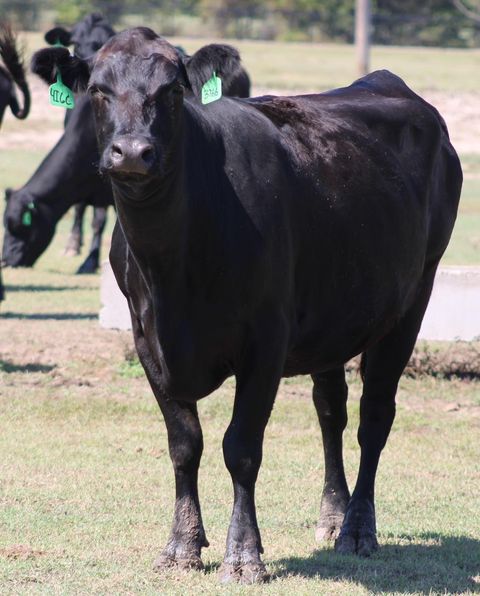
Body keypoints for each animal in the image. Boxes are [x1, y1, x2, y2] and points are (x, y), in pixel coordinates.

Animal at [31, 28, 464, 584]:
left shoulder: (266, 338)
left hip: (413, 298)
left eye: (173, 90)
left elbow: (241, 447)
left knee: (374, 417)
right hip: (334, 311)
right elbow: (184, 443)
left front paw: (243, 555)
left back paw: (357, 529)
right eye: (98, 91)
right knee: (331, 411)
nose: (132, 152)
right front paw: (182, 544)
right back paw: (332, 514)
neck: (174, 271)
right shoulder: (145, 337)